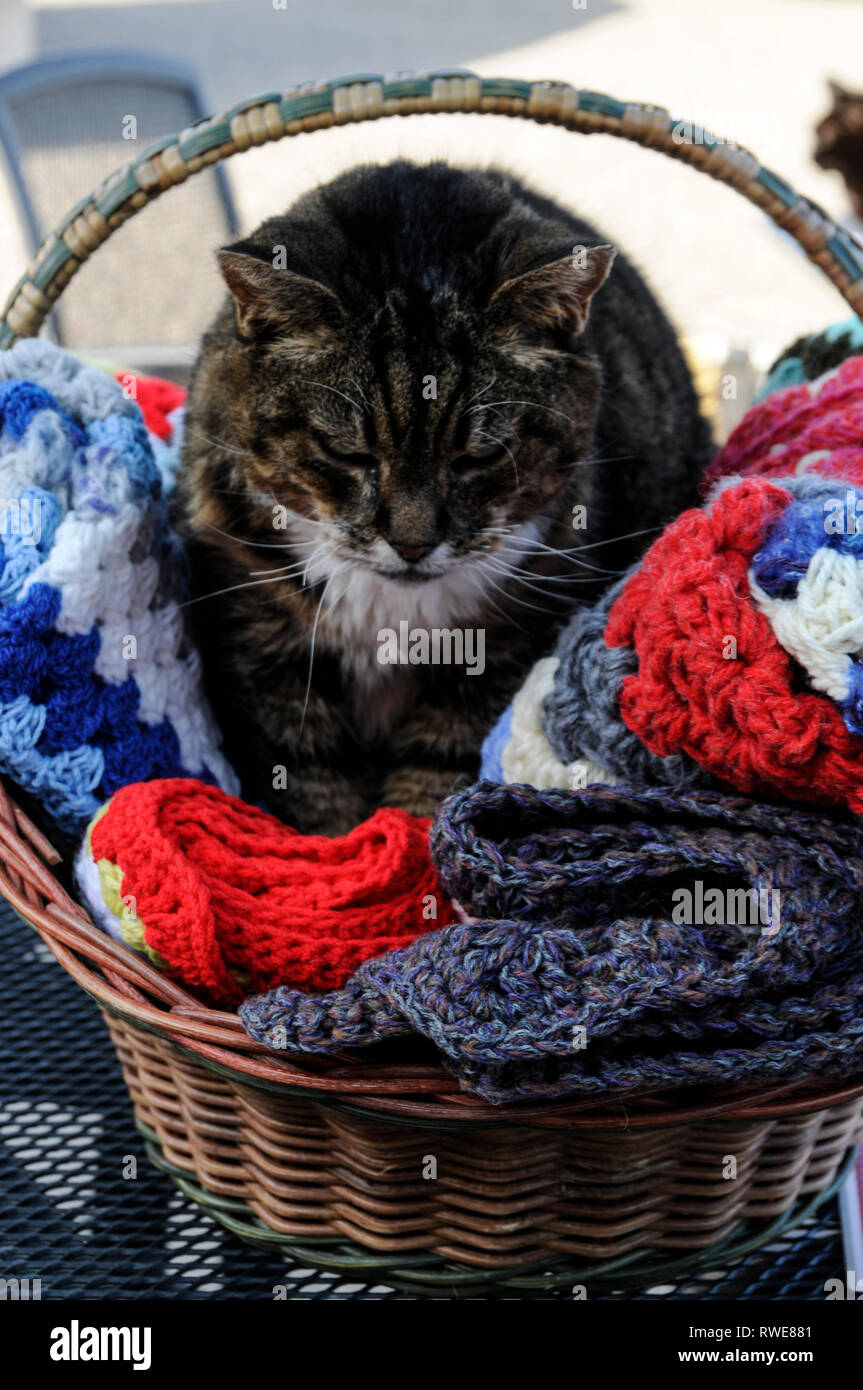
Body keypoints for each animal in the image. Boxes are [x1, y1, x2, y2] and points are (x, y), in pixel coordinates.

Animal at [171, 162, 711, 834]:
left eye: (477, 457)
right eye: (349, 453)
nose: (412, 543)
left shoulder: (507, 642)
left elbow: (439, 768)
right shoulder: (263, 637)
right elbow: (311, 777)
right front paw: (339, 852)